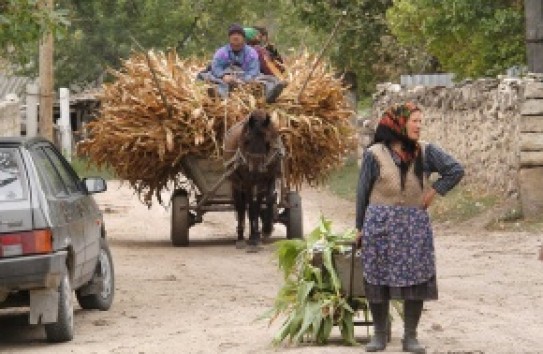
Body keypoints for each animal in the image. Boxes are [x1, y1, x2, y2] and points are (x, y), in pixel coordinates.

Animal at [224, 110, 284, 252]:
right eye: (247, 140)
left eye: (267, 141)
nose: (255, 168)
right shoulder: (248, 182)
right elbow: (251, 206)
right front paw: (254, 237)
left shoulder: (268, 178)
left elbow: (268, 200)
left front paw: (265, 229)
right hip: (237, 184)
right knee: (241, 206)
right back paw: (241, 237)